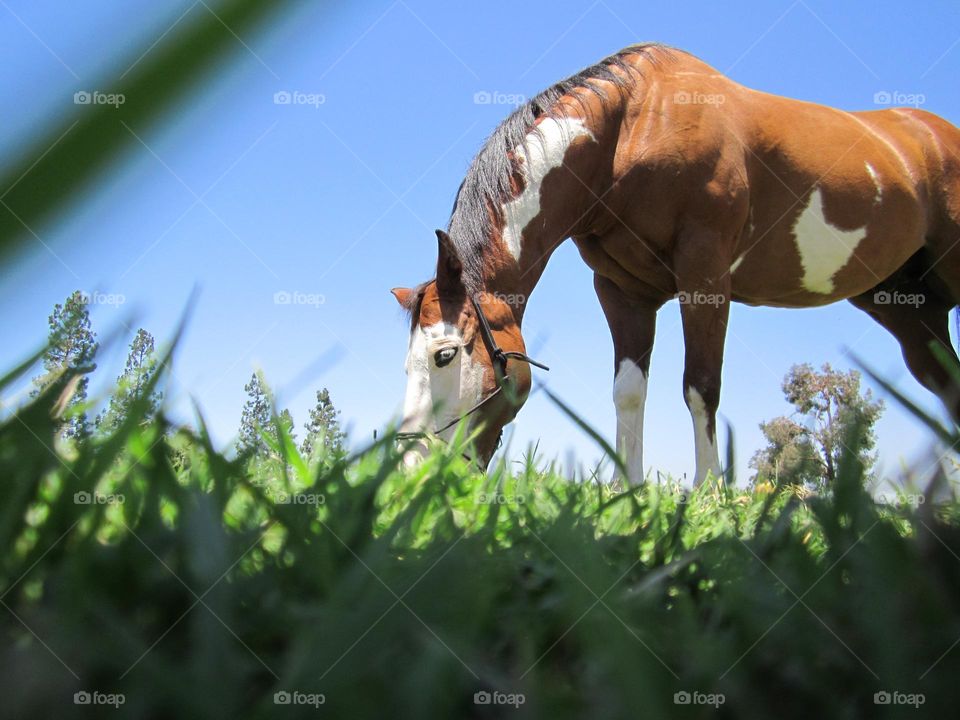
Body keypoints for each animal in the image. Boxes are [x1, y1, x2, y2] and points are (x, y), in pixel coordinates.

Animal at [391, 43, 960, 485]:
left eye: (444, 355)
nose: (410, 475)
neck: (632, 128)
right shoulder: (622, 292)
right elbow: (628, 394)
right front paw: (626, 494)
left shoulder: (705, 276)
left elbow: (701, 387)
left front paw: (710, 494)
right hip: (906, 309)